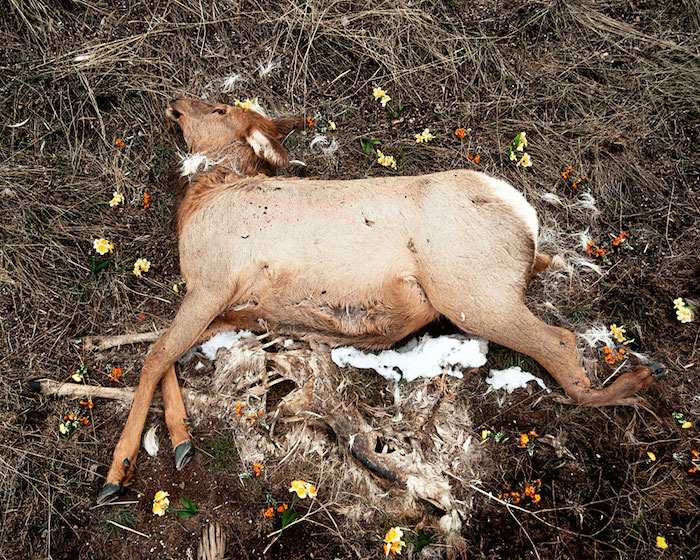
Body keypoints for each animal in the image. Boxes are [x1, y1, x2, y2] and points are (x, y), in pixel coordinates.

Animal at [95, 97, 665, 503]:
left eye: (218, 108)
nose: (175, 102)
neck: (203, 197)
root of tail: (526, 219)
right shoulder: (235, 308)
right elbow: (164, 351)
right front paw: (178, 436)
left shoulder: (211, 283)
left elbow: (154, 355)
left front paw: (118, 471)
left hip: (474, 292)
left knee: (561, 341)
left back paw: (640, 378)